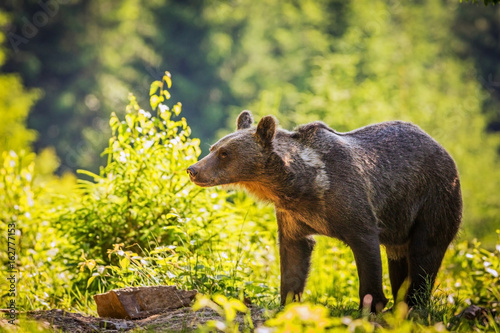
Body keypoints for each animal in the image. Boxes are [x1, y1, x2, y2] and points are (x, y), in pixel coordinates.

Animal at [187, 110, 460, 310]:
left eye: (225, 153)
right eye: (213, 148)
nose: (193, 169)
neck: (300, 185)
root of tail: (443, 150)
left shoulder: (351, 201)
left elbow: (366, 248)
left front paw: (371, 304)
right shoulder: (292, 215)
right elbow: (293, 254)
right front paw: (287, 302)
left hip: (433, 198)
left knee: (425, 251)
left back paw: (413, 304)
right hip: (401, 224)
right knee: (400, 260)